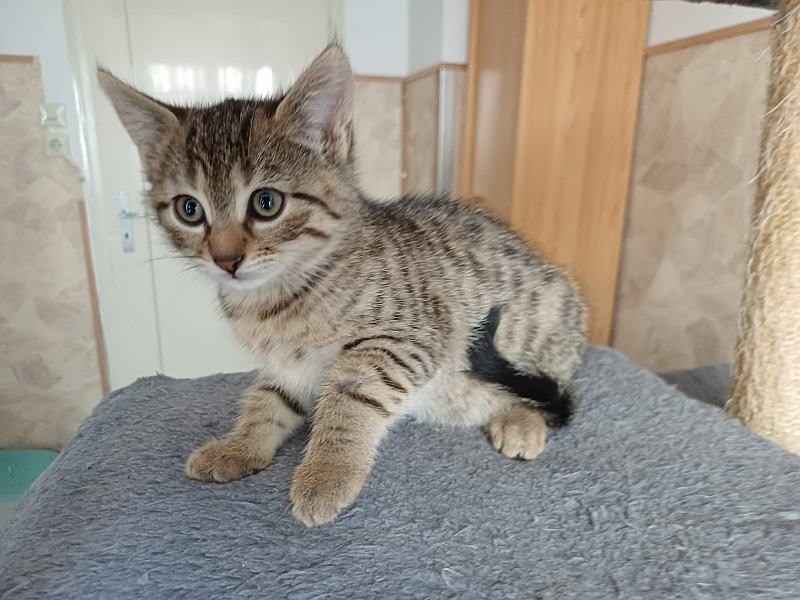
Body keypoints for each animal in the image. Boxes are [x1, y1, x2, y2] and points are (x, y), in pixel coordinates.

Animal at [98, 44, 587, 527]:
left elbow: (352, 396)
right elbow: (266, 399)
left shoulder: (406, 338)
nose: (226, 259)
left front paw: (327, 472)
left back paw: (522, 421)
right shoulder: (286, 366)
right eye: (189, 210)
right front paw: (238, 446)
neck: (275, 299)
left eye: (266, 203)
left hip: (539, 324)